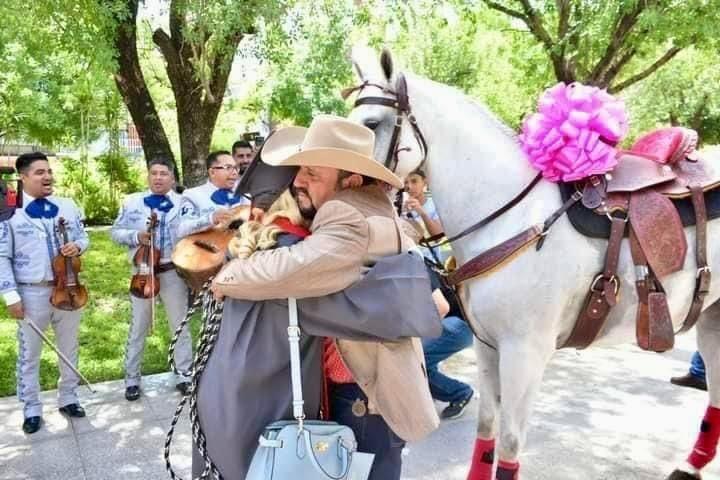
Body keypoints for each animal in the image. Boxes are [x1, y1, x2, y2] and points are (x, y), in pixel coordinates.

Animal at [346, 46, 720, 480]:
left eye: (372, 124)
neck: (513, 216)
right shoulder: (488, 346)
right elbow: (487, 429)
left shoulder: (525, 353)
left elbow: (509, 443)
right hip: (711, 318)